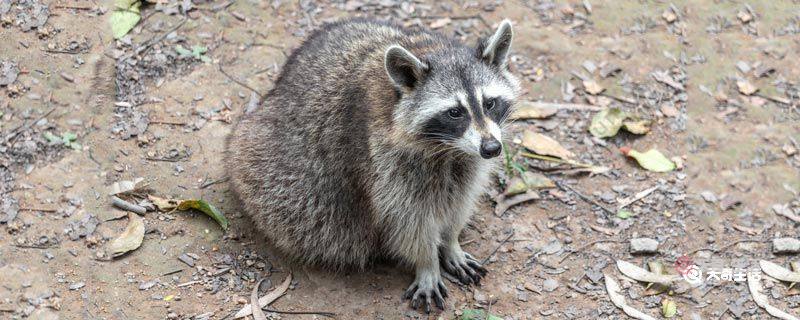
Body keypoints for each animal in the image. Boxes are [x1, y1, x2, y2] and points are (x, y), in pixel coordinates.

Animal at [227, 18, 520, 312]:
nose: (492, 148)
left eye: (490, 103)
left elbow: (459, 202)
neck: (447, 150)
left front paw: (451, 242)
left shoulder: (466, 162)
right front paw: (427, 262)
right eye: (454, 112)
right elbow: (407, 221)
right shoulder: (383, 161)